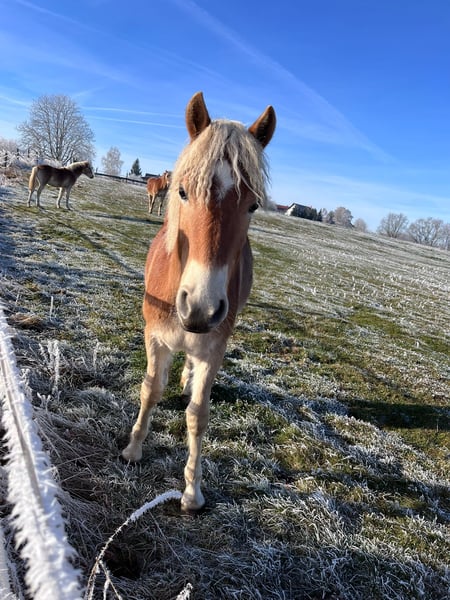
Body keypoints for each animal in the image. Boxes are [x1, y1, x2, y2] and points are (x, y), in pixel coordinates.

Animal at [122, 91, 276, 512]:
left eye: (252, 205)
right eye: (182, 191)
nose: (201, 308)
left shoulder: (213, 349)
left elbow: (198, 415)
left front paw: (192, 490)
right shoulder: (155, 337)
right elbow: (150, 390)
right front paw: (133, 449)